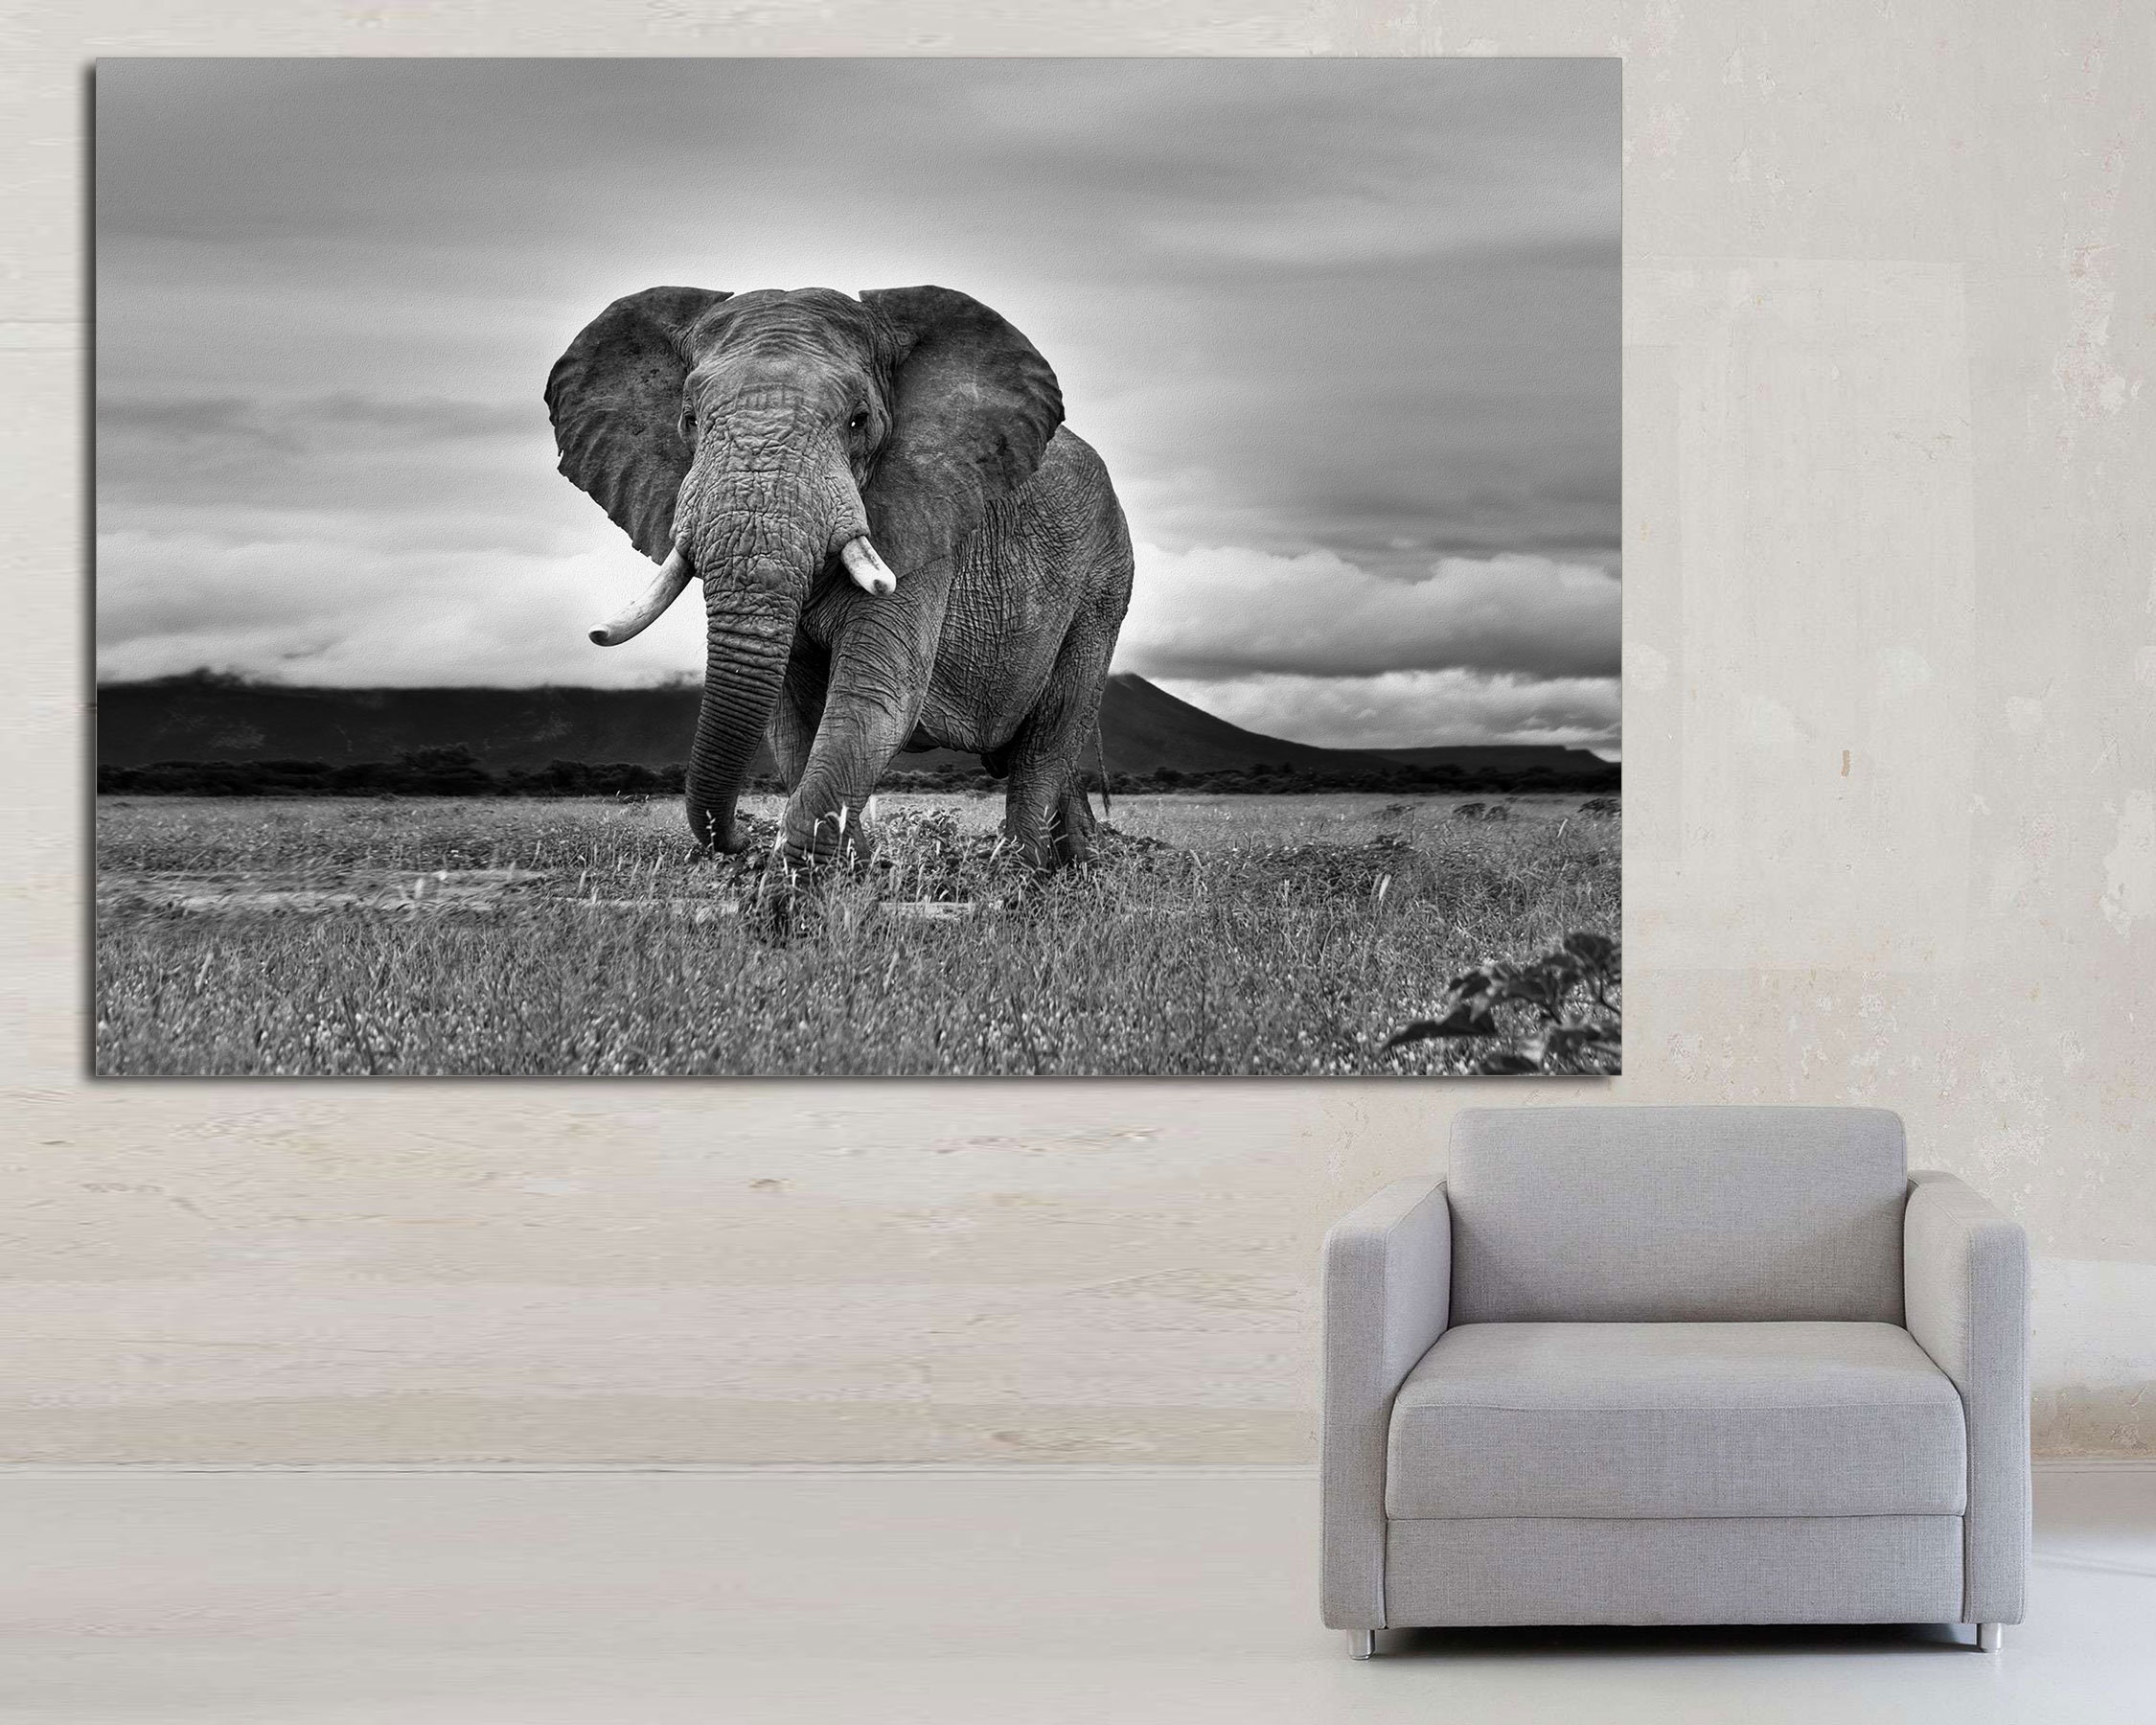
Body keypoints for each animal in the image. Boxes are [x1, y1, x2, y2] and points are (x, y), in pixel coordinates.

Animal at [544, 284, 1135, 874]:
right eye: (688, 419)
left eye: (859, 420)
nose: (737, 837)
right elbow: (793, 721)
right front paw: (856, 872)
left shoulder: (924, 521)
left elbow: (873, 696)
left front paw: (803, 883)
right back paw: (1076, 868)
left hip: (1103, 584)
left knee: (1048, 737)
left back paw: (1023, 875)